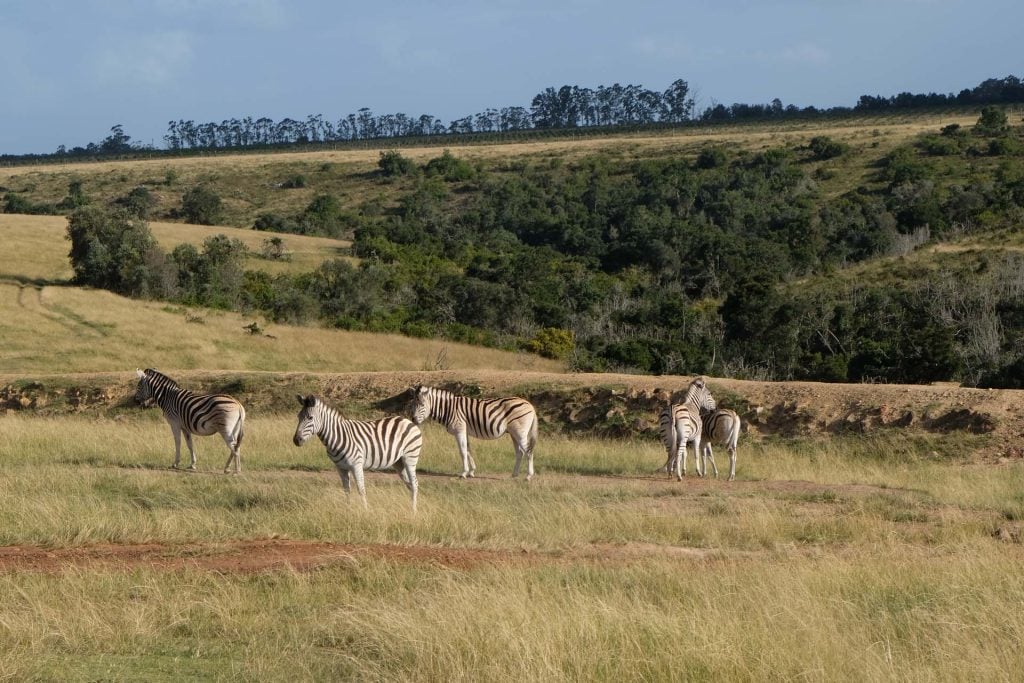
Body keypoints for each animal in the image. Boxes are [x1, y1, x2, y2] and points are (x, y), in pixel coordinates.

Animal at [292, 393, 423, 509]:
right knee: (409, 484)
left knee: (414, 484)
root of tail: (408, 421)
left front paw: (365, 512)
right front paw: (348, 510)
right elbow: (346, 490)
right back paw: (409, 507)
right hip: (398, 462)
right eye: (298, 417)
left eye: (310, 418)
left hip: (410, 458)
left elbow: (361, 490)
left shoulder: (356, 465)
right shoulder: (341, 468)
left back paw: (413, 511)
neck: (337, 436)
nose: (296, 440)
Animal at [409, 385, 540, 481]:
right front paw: (471, 472)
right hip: (513, 433)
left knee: (528, 452)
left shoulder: (460, 430)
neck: (448, 409)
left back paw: (528, 476)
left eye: (422, 405)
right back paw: (514, 475)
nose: (413, 420)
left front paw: (463, 473)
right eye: (412, 404)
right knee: (519, 453)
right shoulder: (465, 431)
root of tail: (530, 405)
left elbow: (462, 451)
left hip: (520, 432)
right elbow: (468, 450)